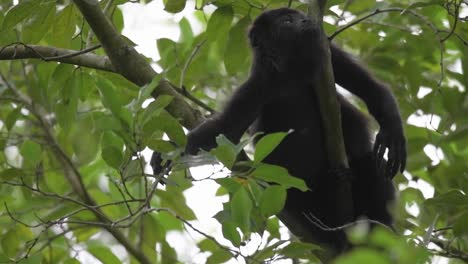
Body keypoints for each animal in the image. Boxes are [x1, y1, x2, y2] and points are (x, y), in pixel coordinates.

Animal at [153, 7, 406, 252]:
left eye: (301, 16)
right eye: (287, 21)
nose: (307, 21)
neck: (290, 71)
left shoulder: (327, 53)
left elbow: (371, 88)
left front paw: (393, 132)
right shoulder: (259, 84)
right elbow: (225, 131)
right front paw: (170, 151)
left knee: (371, 164)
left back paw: (377, 232)